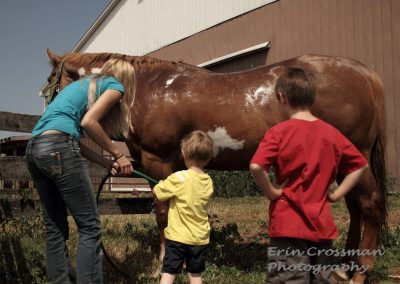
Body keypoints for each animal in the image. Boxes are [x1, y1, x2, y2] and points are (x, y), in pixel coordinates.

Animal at [43, 47, 388, 282]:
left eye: (49, 82)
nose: (47, 115)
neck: (145, 89)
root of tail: (368, 75)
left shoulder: (159, 162)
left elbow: (162, 215)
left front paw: (163, 264)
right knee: (356, 208)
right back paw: (342, 267)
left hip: (356, 156)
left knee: (370, 205)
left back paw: (359, 273)